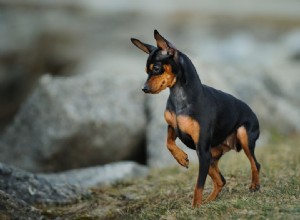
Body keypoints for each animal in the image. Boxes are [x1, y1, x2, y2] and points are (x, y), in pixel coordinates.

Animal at [131, 30, 260, 207]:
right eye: (146, 71)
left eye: (156, 68)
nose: (144, 88)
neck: (180, 97)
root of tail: (252, 111)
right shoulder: (173, 127)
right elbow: (168, 143)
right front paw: (181, 158)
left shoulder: (202, 149)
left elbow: (198, 185)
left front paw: (195, 208)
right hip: (211, 156)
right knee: (221, 180)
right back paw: (208, 201)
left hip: (241, 136)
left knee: (255, 164)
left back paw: (254, 185)